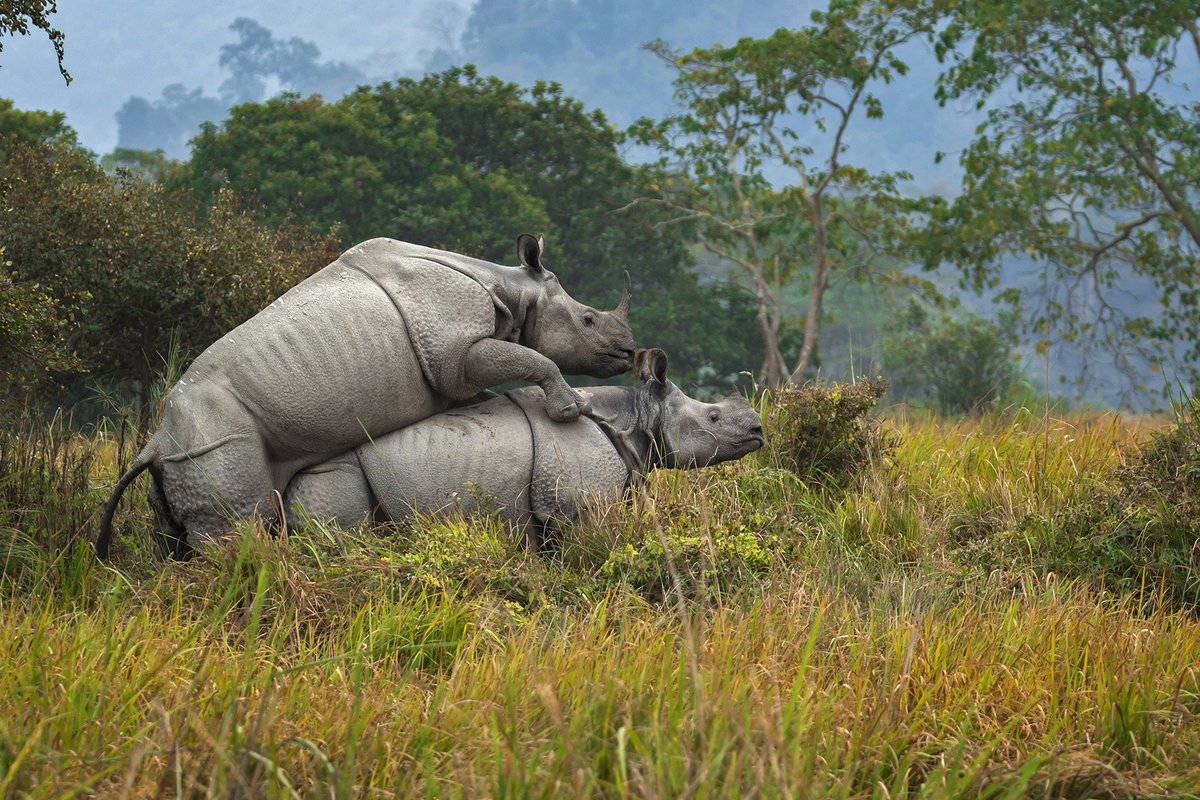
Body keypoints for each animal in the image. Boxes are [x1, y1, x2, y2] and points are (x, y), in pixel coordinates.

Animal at [97, 232, 633, 556]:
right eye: (588, 320)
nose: (629, 352)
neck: (513, 290)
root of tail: (155, 441)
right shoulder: (455, 352)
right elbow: (527, 359)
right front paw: (571, 410)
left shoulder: (454, 365)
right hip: (217, 437)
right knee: (237, 528)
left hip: (183, 452)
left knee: (177, 530)